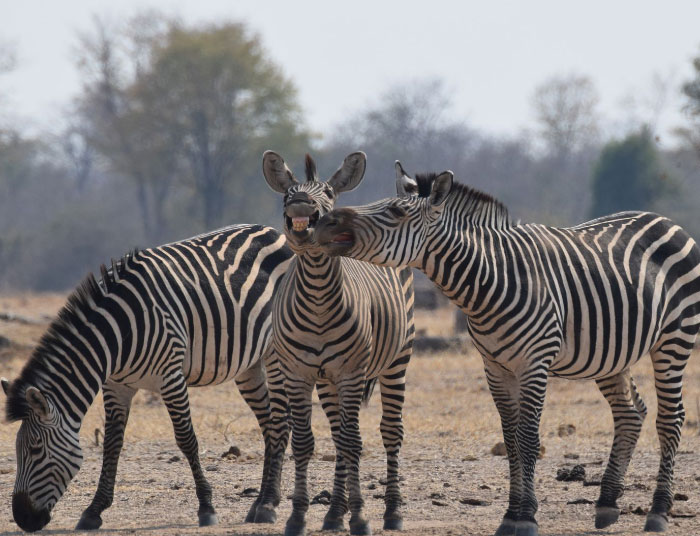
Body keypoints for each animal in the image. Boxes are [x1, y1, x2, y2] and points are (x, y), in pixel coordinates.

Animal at [1, 224, 293, 532]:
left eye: (35, 450)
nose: (22, 518)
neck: (117, 336)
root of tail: (272, 231)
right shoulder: (116, 386)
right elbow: (111, 444)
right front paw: (94, 510)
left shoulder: (170, 377)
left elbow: (186, 440)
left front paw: (206, 507)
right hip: (249, 365)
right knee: (269, 426)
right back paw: (260, 503)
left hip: (275, 353)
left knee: (279, 424)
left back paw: (268, 505)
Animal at [262, 151, 415, 536]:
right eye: (287, 193)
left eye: (328, 193)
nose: (300, 203)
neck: (317, 296)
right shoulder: (297, 373)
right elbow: (306, 443)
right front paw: (298, 516)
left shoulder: (351, 373)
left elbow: (353, 443)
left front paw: (360, 517)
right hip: (327, 380)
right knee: (336, 433)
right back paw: (333, 514)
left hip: (397, 361)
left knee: (389, 432)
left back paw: (392, 512)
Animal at [313, 162, 700, 536]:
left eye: (394, 211)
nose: (324, 222)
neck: (491, 281)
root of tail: (665, 220)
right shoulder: (495, 367)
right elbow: (510, 439)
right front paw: (511, 516)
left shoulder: (534, 364)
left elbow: (528, 438)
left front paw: (527, 518)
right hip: (610, 354)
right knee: (630, 413)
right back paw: (606, 504)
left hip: (675, 338)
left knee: (671, 418)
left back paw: (658, 512)